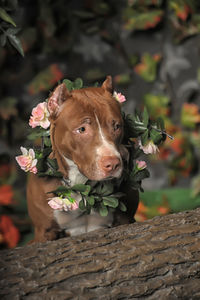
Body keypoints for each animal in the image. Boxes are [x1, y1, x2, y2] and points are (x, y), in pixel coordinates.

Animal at [27, 76, 139, 243]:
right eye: (82, 129)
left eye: (117, 126)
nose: (113, 164)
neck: (81, 185)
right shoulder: (45, 232)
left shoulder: (124, 219)